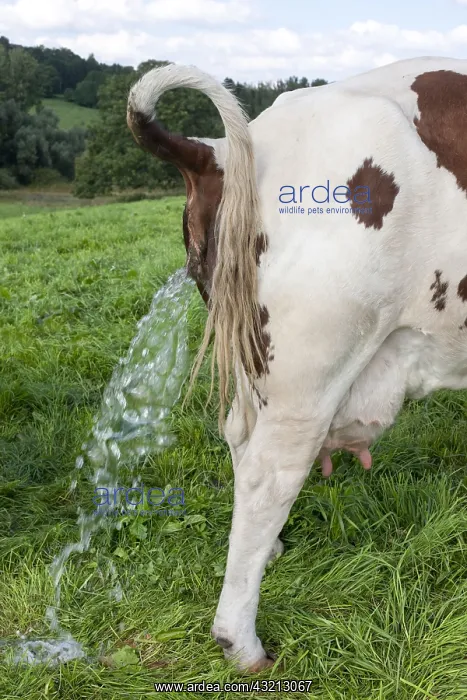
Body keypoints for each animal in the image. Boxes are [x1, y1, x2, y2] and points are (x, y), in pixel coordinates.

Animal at [127, 57, 467, 672]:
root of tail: (224, 151)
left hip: (255, 359)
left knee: (238, 436)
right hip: (309, 369)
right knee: (269, 473)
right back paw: (241, 643)